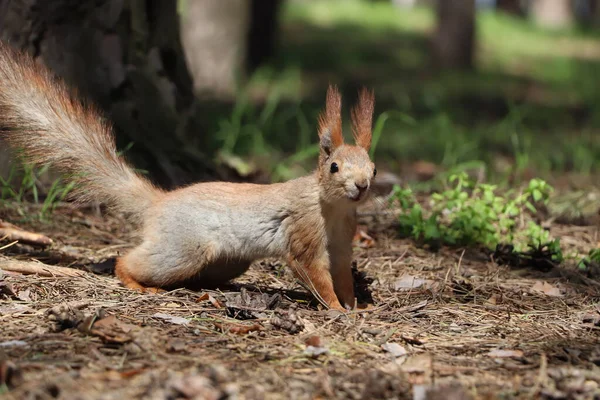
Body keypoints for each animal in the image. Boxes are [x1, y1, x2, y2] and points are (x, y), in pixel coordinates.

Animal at [0, 43, 376, 312]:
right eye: (334, 167)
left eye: (373, 169)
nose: (361, 186)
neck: (332, 207)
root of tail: (159, 201)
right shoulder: (304, 231)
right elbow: (315, 273)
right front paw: (335, 308)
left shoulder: (343, 241)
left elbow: (342, 273)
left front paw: (355, 305)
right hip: (183, 248)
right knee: (130, 260)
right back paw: (135, 281)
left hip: (226, 261)